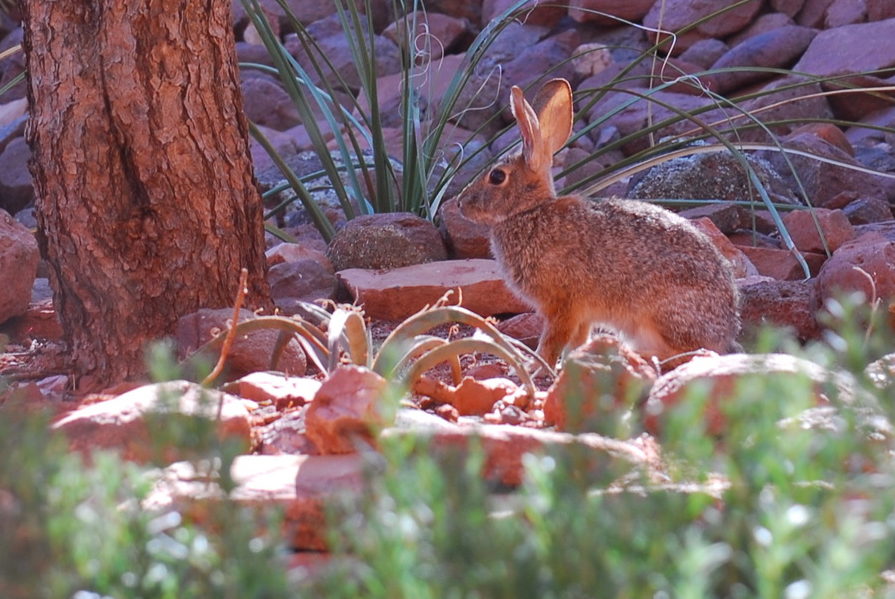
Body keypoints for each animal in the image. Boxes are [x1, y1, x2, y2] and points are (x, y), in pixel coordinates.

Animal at [458, 79, 740, 370]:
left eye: (497, 177)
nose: (460, 203)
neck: (529, 211)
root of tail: (726, 330)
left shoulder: (563, 305)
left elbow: (552, 341)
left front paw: (535, 366)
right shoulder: (582, 314)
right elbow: (577, 340)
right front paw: (572, 362)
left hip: (663, 316)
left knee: (691, 353)